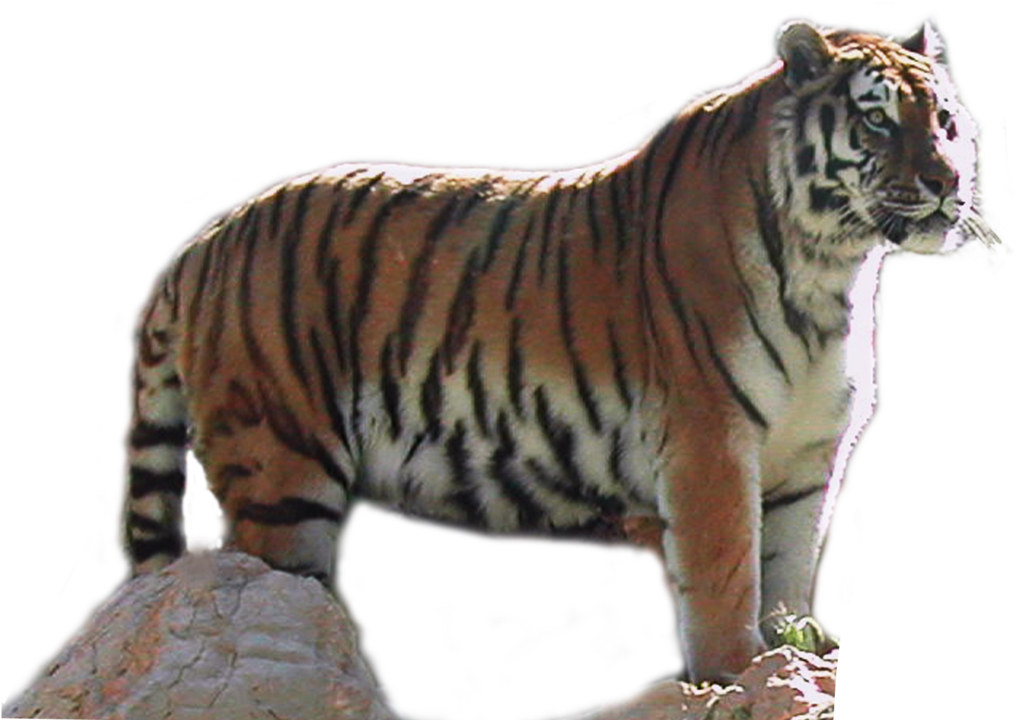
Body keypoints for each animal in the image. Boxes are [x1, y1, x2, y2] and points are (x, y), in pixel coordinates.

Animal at [114, 10, 1009, 699]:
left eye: (947, 120)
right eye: (876, 120)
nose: (946, 182)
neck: (833, 271)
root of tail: (196, 242)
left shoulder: (805, 463)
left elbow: (784, 579)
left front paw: (787, 661)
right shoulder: (709, 443)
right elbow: (726, 578)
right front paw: (734, 676)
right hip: (283, 478)